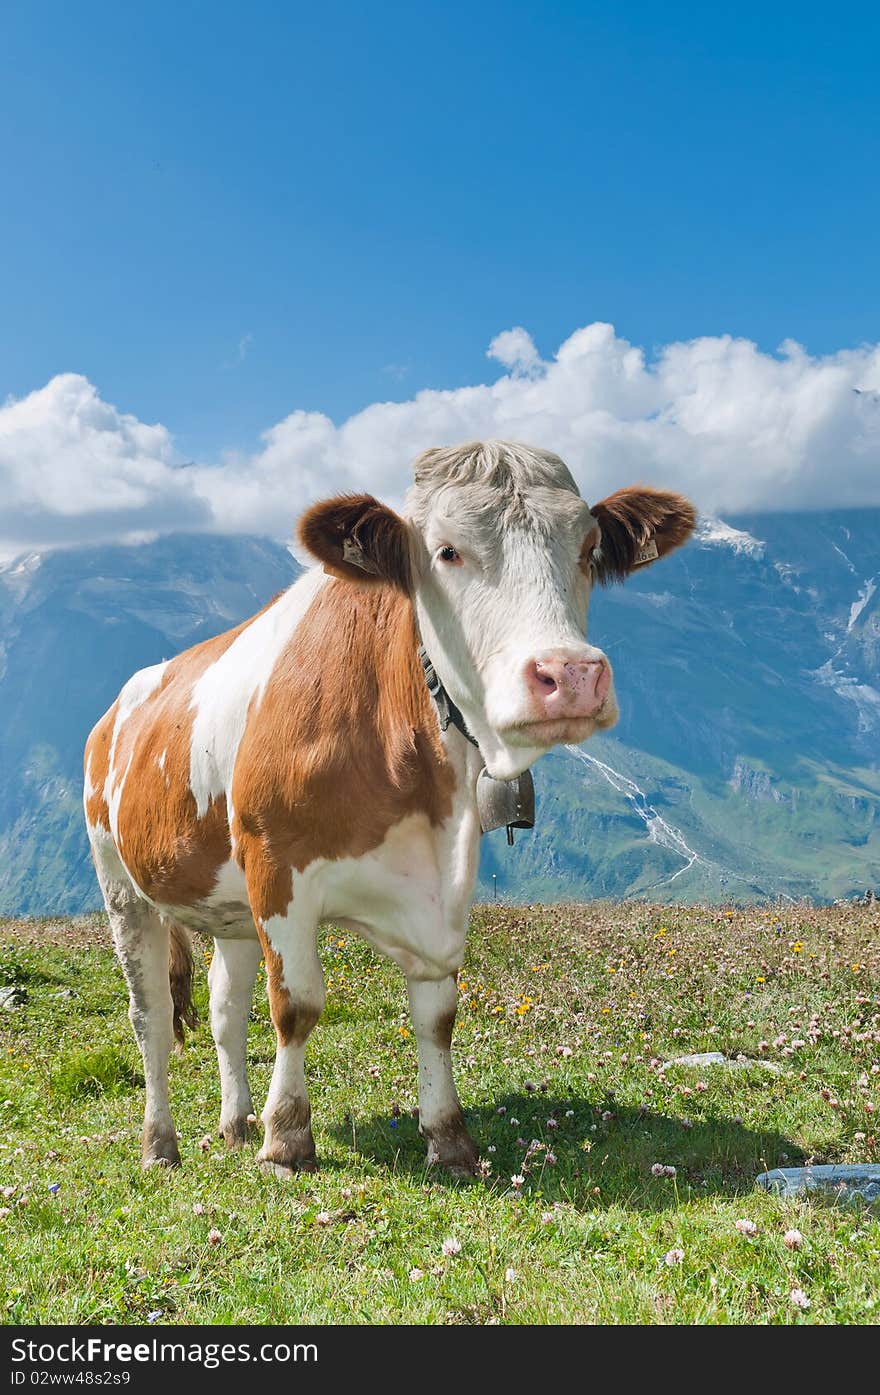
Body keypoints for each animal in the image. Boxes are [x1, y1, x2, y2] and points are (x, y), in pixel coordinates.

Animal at [86, 440, 700, 1171]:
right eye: (447, 551)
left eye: (587, 547)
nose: (570, 675)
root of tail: (119, 706)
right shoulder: (276, 868)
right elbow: (296, 1005)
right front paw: (287, 1138)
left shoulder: (442, 884)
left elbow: (436, 1011)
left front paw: (448, 1135)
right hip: (123, 883)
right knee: (149, 1013)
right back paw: (160, 1143)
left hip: (226, 903)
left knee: (224, 1007)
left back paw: (234, 1122)